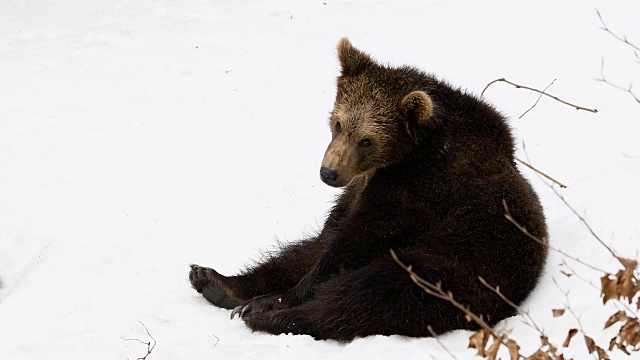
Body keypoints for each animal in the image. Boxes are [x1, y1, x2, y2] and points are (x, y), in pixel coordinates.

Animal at [188, 38, 548, 342]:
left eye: (366, 140)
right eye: (338, 123)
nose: (329, 172)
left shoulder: (419, 190)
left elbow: (357, 241)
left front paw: (274, 302)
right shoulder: (360, 190)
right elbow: (327, 237)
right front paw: (243, 291)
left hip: (457, 268)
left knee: (369, 295)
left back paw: (266, 315)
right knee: (300, 254)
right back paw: (218, 284)